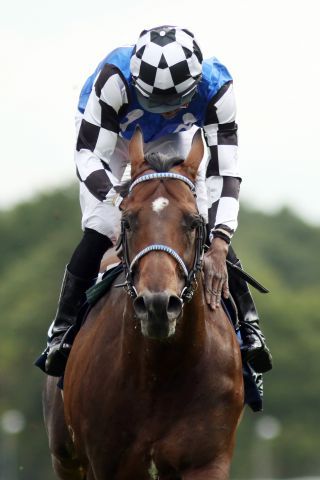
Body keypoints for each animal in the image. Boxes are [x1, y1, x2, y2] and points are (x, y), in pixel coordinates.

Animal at [43, 128, 244, 480]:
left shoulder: (206, 461)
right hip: (66, 458)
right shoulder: (106, 463)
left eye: (193, 222)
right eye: (127, 220)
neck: (160, 371)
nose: (158, 305)